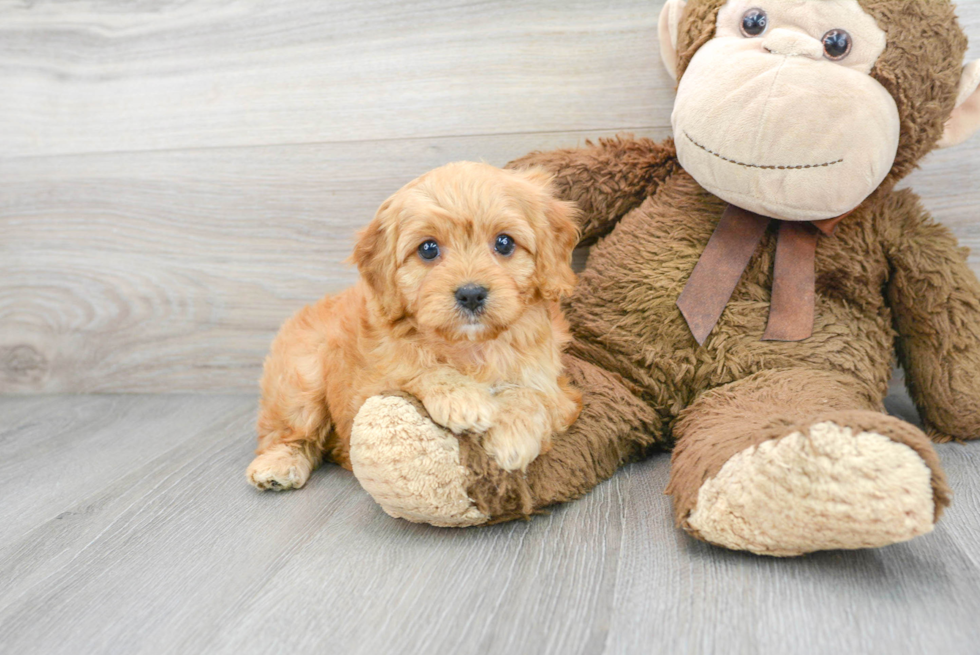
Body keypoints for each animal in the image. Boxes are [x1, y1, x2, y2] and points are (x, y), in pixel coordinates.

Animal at [247, 163, 580, 492]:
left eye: (505, 243)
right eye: (428, 249)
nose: (471, 294)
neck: (471, 346)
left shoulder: (558, 391)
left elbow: (531, 395)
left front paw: (513, 436)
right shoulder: (370, 385)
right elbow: (418, 367)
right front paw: (464, 400)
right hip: (301, 378)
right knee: (287, 431)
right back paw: (278, 464)